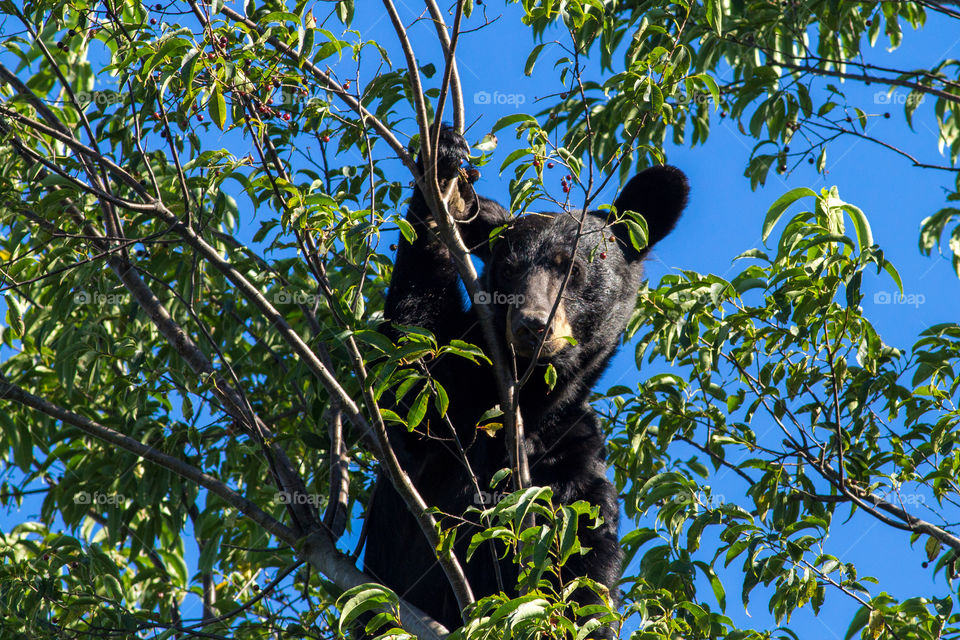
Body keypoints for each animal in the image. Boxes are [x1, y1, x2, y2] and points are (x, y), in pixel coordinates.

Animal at [362, 125, 688, 635]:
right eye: (508, 268)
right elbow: (412, 376)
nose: (532, 324)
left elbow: (586, 566)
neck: (529, 402)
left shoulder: (571, 458)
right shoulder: (458, 397)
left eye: (571, 267)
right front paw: (445, 170)